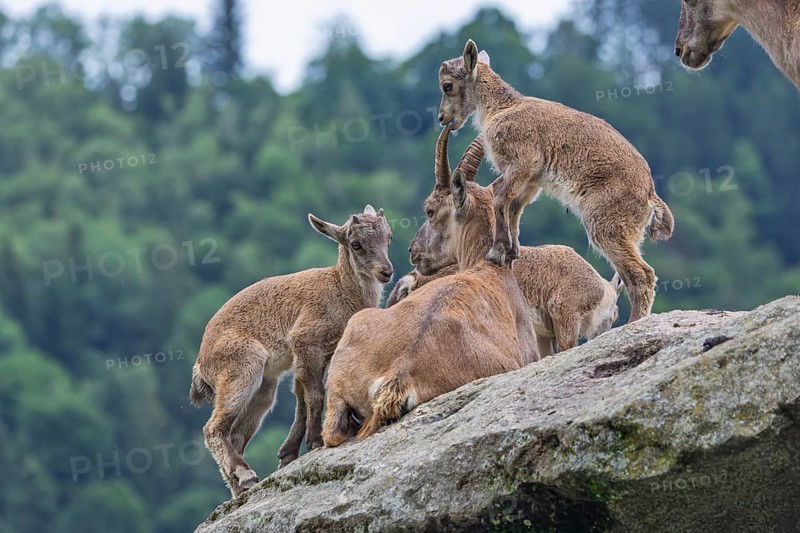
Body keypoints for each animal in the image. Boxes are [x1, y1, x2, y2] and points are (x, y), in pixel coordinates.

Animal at [190, 206, 393, 496]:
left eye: (389, 237)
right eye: (356, 244)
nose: (386, 271)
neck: (340, 290)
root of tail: (201, 363)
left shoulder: (320, 354)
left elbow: (302, 398)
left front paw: (289, 453)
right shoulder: (305, 341)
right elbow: (315, 394)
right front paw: (316, 440)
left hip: (264, 387)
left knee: (235, 433)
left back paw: (241, 487)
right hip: (242, 370)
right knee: (213, 428)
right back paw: (246, 475)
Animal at [437, 39, 674, 322]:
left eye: (447, 85)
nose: (442, 118)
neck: (502, 108)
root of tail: (650, 195)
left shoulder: (522, 163)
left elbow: (500, 199)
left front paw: (496, 252)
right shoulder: (532, 180)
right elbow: (514, 207)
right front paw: (512, 252)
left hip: (606, 224)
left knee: (641, 275)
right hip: (628, 233)